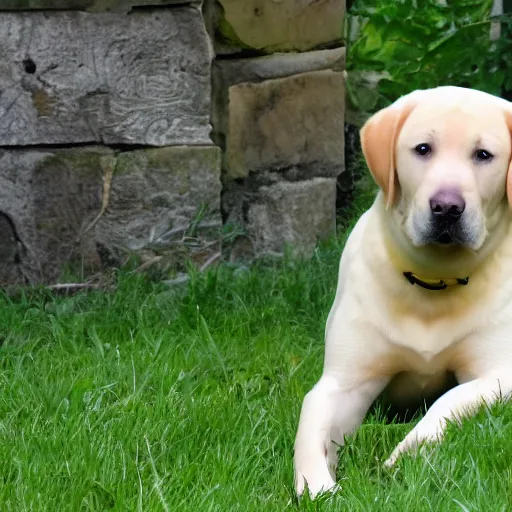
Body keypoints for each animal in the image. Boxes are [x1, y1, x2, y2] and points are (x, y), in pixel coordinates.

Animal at [294, 86, 512, 498]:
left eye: (483, 155)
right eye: (423, 149)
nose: (446, 207)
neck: (434, 280)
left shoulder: (500, 375)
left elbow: (447, 402)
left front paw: (405, 455)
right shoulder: (342, 383)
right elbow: (310, 428)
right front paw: (317, 487)